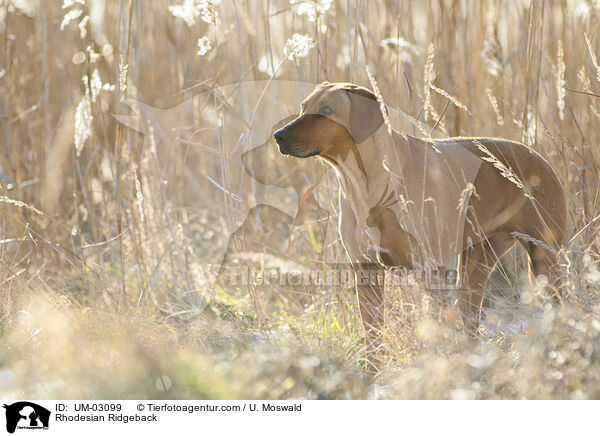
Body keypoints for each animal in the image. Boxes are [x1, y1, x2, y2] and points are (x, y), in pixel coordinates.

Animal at [274, 83, 568, 360]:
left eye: (326, 110)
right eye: (303, 106)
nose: (279, 135)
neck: (367, 185)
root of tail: (537, 155)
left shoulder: (433, 271)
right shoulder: (367, 271)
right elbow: (373, 338)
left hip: (544, 259)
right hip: (478, 263)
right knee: (471, 322)